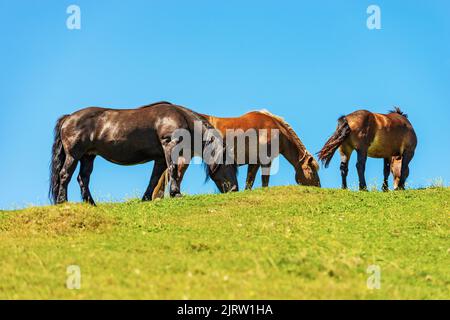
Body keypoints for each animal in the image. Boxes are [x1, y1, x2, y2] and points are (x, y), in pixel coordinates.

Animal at [49, 101, 239, 205]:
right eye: (229, 165)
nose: (234, 189)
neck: (181, 119)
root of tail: (69, 117)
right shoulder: (169, 146)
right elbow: (173, 170)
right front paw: (176, 193)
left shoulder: (160, 158)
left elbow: (154, 178)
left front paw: (146, 198)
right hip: (74, 155)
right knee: (64, 175)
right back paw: (62, 201)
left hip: (88, 156)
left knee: (83, 178)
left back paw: (91, 203)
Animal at [153, 109, 322, 198]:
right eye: (312, 171)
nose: (319, 187)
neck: (275, 130)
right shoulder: (265, 161)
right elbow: (264, 181)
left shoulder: (254, 162)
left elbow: (249, 182)